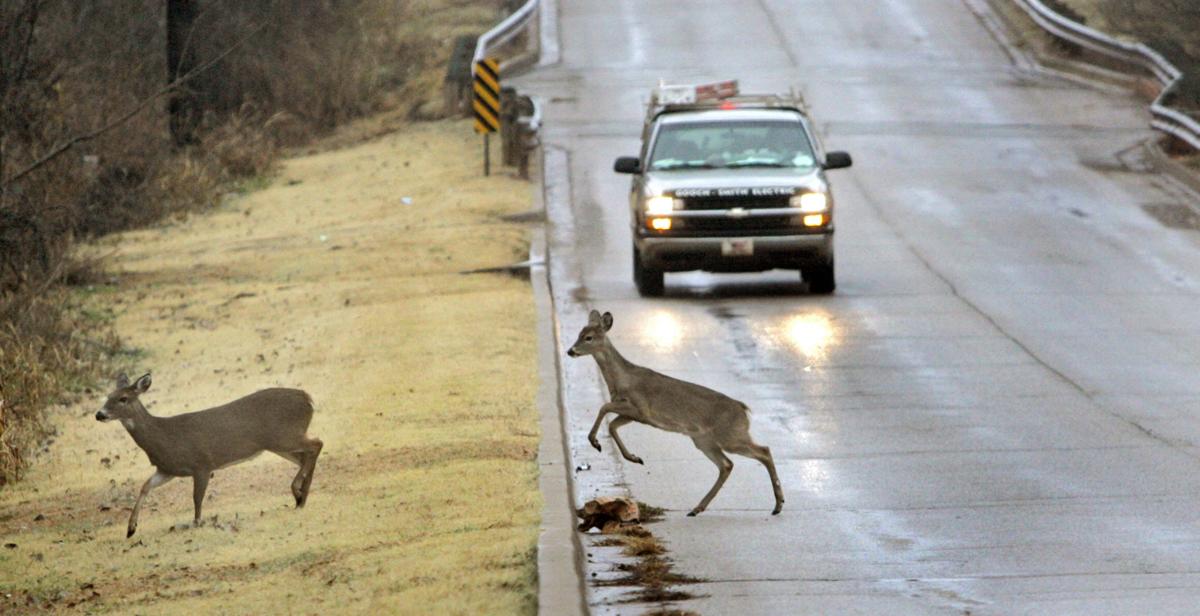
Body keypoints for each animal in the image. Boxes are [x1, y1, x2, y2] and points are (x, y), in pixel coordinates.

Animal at [94, 373, 324, 537]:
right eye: (108, 397)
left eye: (123, 398)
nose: (99, 414)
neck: (164, 437)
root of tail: (308, 398)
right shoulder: (167, 469)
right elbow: (145, 486)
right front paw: (131, 528)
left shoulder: (202, 463)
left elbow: (197, 497)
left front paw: (196, 522)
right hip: (278, 443)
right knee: (306, 456)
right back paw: (301, 498)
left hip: (285, 436)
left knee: (317, 444)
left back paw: (297, 491)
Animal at [567, 310, 784, 516]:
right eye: (579, 334)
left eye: (588, 337)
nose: (570, 351)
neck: (622, 380)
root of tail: (743, 409)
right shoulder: (633, 414)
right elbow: (612, 424)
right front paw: (633, 457)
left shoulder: (641, 408)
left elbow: (604, 408)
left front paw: (595, 442)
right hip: (704, 440)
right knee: (727, 464)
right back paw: (697, 508)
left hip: (729, 435)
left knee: (763, 451)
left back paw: (778, 504)